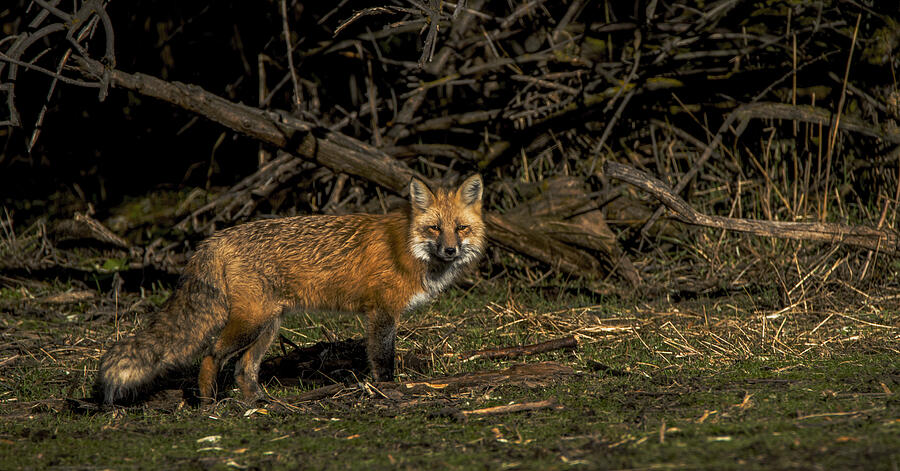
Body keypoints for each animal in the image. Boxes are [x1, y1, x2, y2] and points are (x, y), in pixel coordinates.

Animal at [95, 174, 485, 404]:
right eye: (434, 228)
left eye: (460, 228)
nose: (450, 250)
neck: (408, 246)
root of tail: (215, 238)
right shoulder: (382, 313)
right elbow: (382, 359)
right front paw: (388, 391)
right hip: (250, 323)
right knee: (211, 354)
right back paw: (208, 402)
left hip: (268, 326)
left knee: (244, 370)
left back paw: (258, 404)